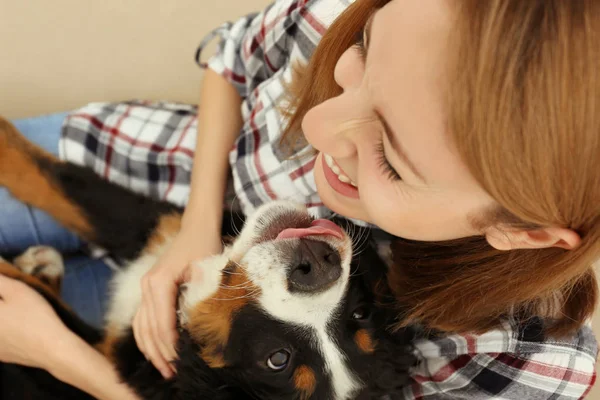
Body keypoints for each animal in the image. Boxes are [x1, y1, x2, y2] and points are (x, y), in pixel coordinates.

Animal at [0, 118, 414, 400]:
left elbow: (42, 310)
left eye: (277, 359)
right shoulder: (154, 227)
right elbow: (53, 180)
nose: (318, 264)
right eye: (360, 312)